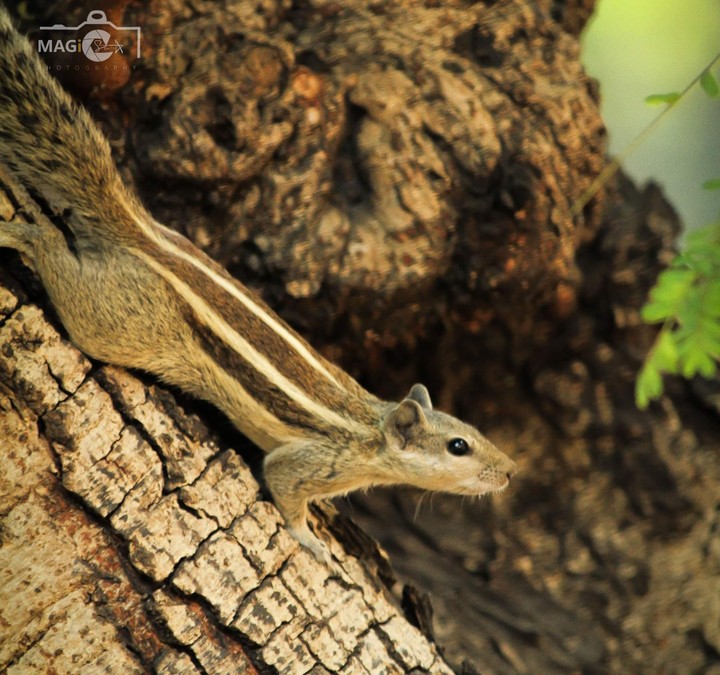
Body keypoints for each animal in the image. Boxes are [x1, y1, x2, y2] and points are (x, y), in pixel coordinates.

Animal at [0, 8, 516, 562]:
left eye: (474, 430)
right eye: (458, 446)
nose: (510, 471)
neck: (369, 429)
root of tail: (143, 235)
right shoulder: (310, 463)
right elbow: (285, 488)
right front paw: (310, 539)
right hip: (121, 324)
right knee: (66, 279)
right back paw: (29, 232)